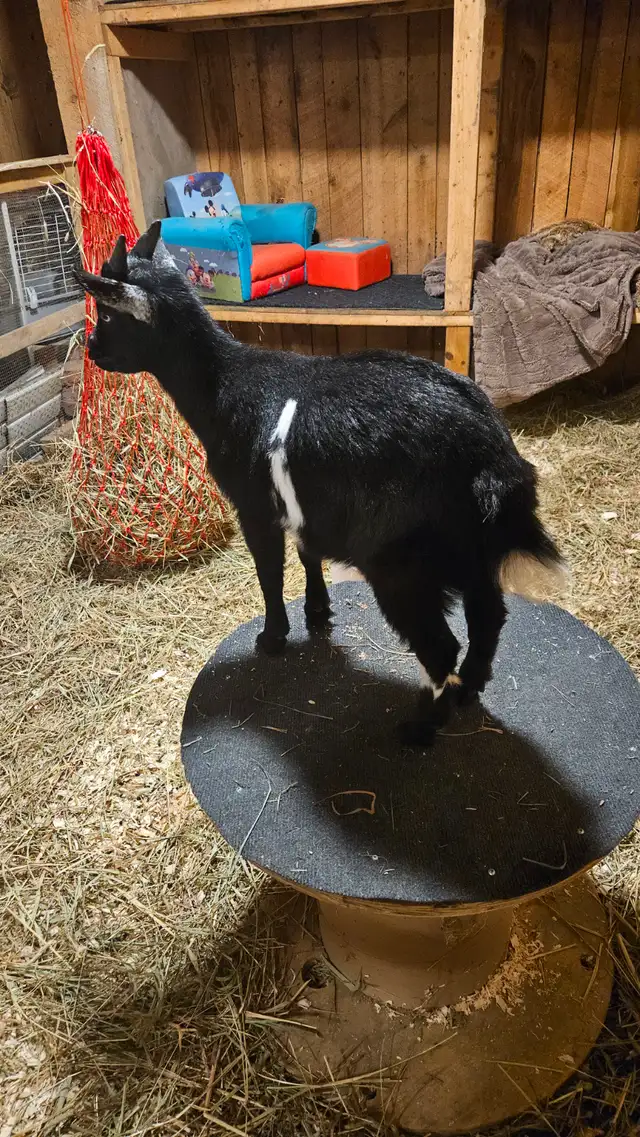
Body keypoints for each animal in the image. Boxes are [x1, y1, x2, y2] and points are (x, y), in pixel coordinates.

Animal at [76, 221, 566, 746]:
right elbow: (308, 553)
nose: (92, 348)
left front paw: (272, 637)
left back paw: (420, 729)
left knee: (440, 645)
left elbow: (269, 572)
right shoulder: (304, 500)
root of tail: (491, 456)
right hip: (475, 550)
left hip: (401, 561)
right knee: (487, 617)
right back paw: (468, 690)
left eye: (108, 314)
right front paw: (317, 612)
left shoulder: (254, 504)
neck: (222, 386)